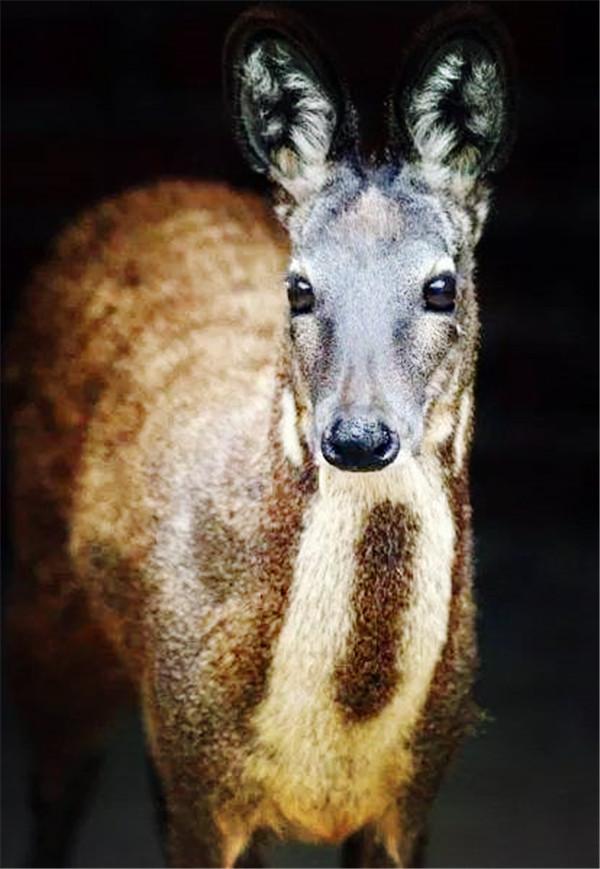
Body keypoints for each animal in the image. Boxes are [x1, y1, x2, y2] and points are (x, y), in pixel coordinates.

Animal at [7, 6, 516, 868]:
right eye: (300, 287)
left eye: (442, 286)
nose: (357, 434)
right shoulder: (196, 775)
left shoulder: (413, 796)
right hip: (48, 607)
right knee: (55, 794)